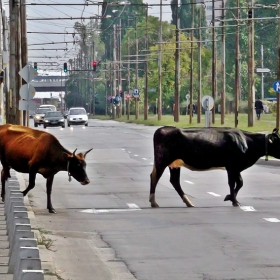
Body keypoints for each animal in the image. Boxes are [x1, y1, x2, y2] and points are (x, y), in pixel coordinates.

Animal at [150, 127, 280, 208]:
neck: (248, 142)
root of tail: (162, 129)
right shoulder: (231, 166)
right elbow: (232, 183)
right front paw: (234, 201)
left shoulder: (236, 167)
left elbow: (240, 183)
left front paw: (229, 197)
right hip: (162, 160)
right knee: (155, 177)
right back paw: (153, 202)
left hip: (174, 164)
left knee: (174, 181)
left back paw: (188, 202)